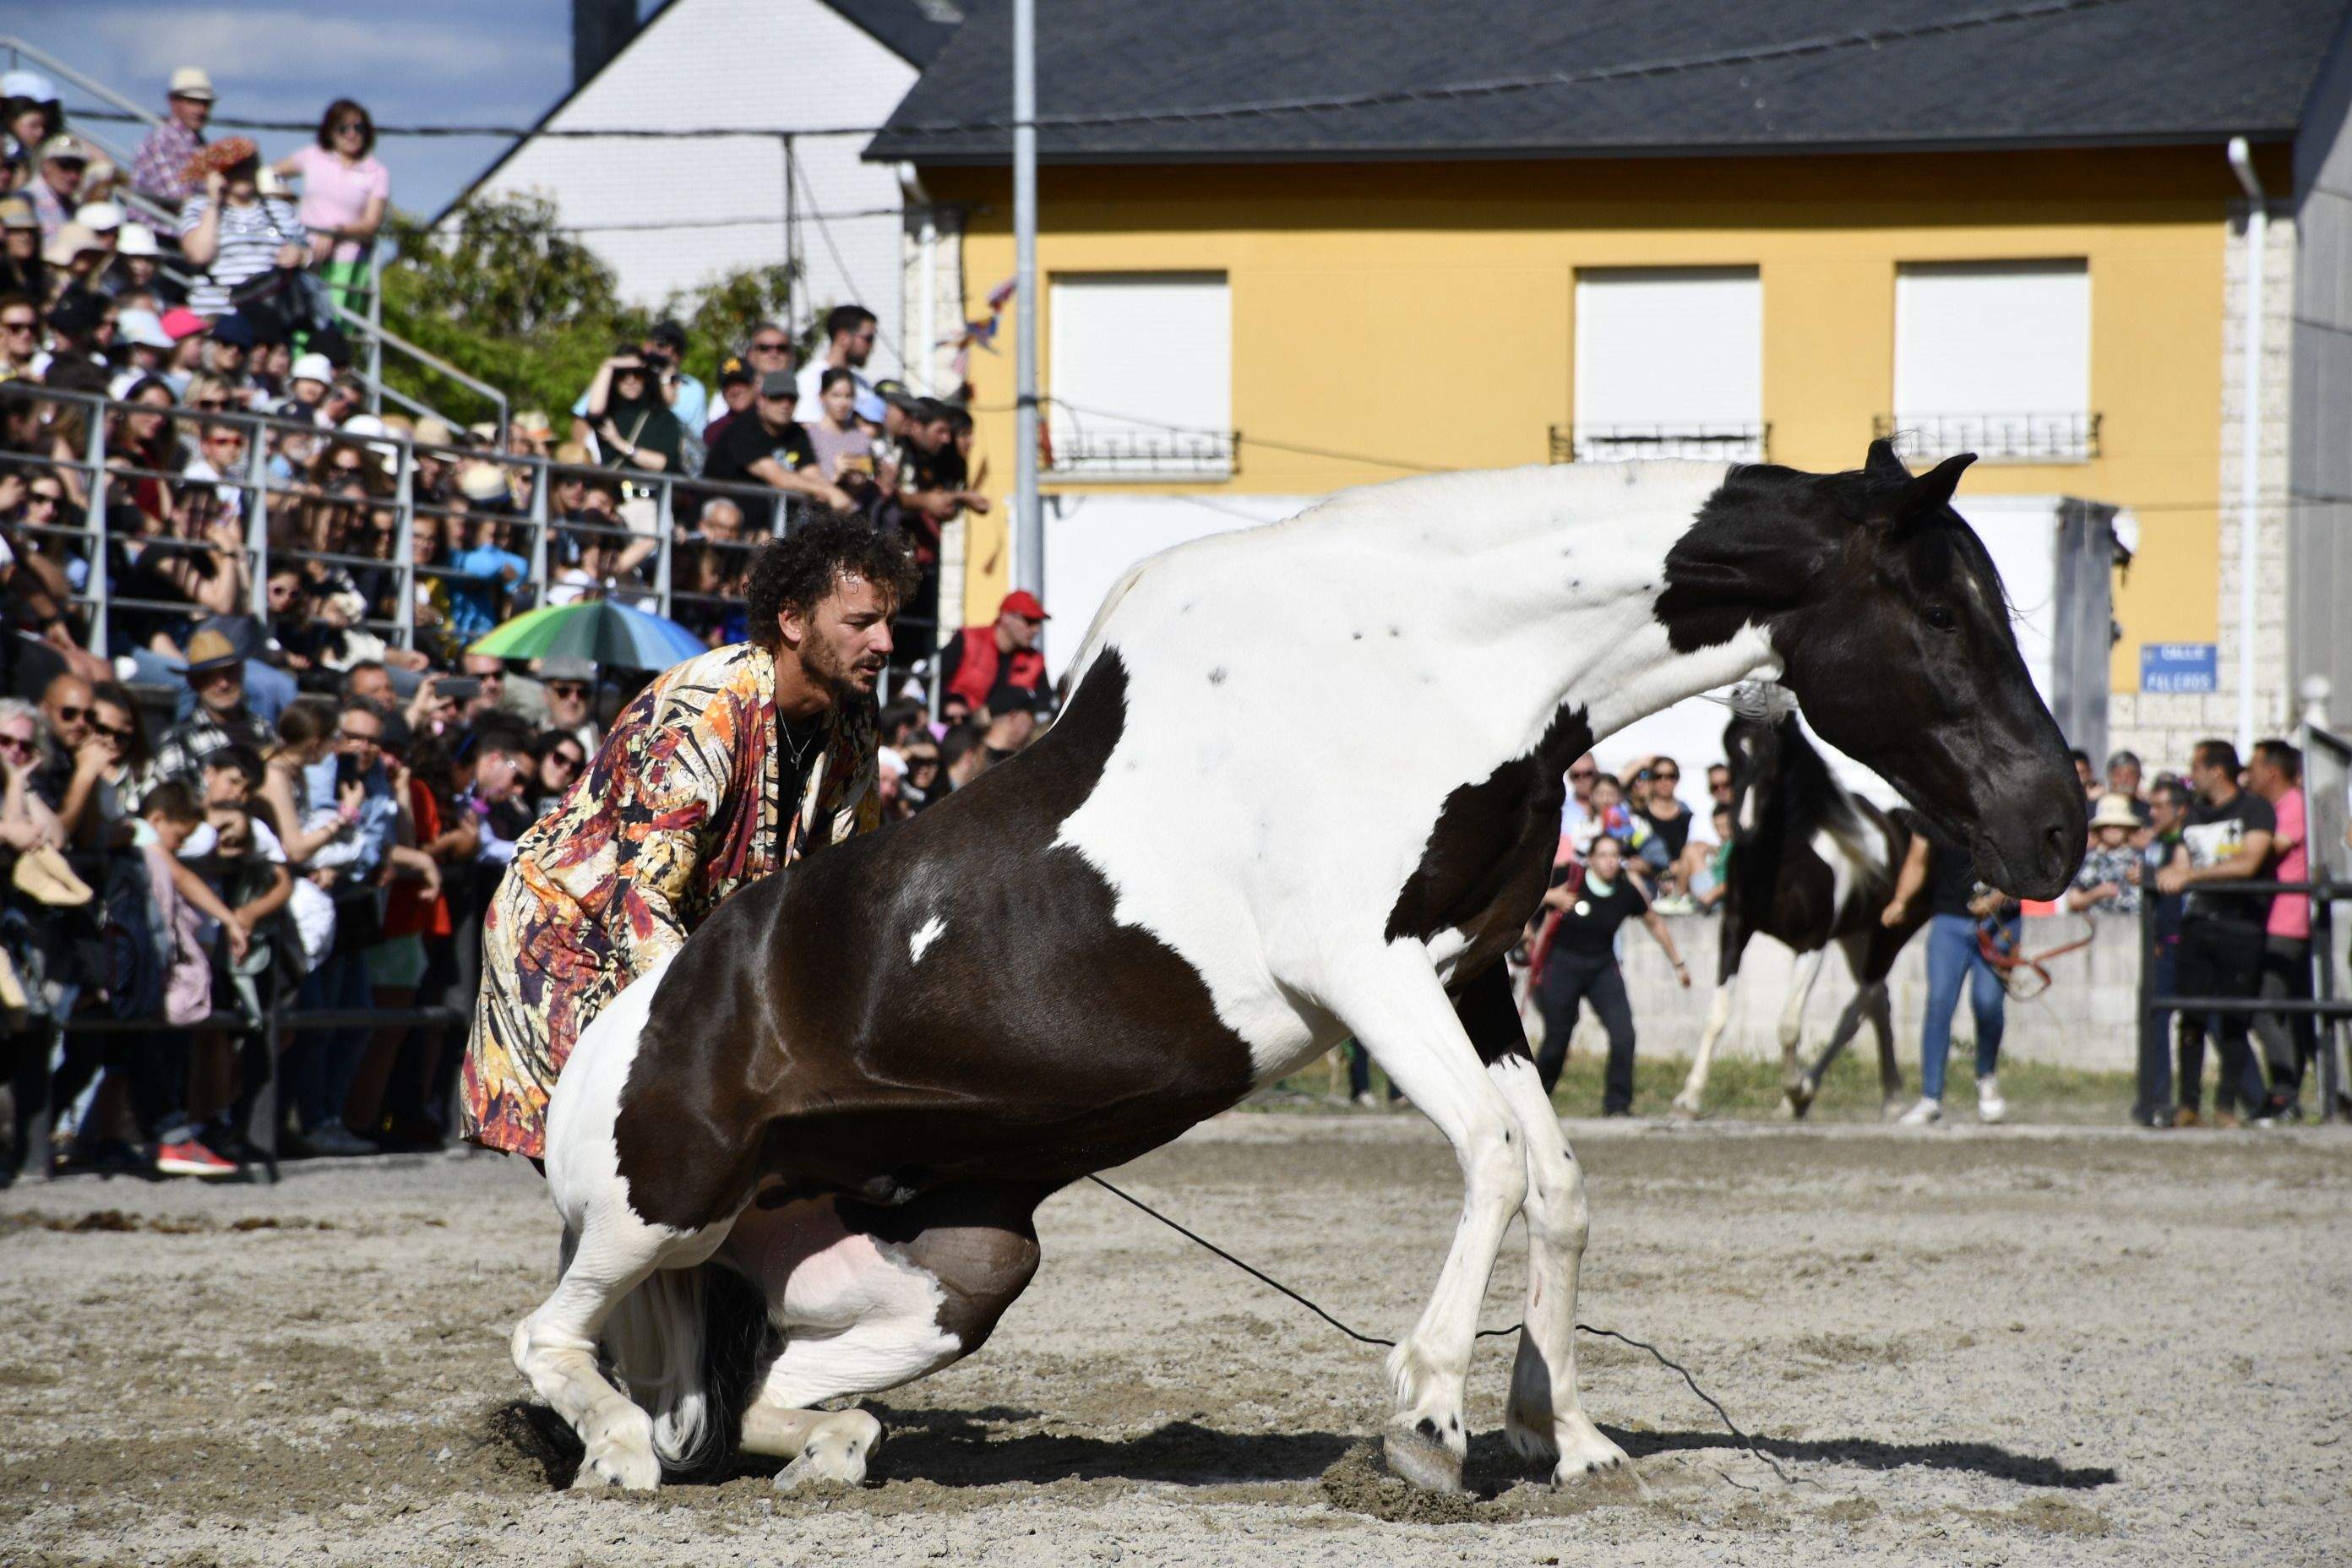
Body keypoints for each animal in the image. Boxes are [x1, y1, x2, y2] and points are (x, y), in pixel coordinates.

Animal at [1665, 705, 1919, 1124]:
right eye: (1732, 752)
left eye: (1773, 757)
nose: (1743, 827)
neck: (1784, 861)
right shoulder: (1735, 928)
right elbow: (1717, 1014)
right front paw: (1689, 1098)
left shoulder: (1812, 945)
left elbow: (1788, 1025)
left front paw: (1796, 1091)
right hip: (1855, 939)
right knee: (1877, 1002)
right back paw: (1890, 1097)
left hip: (1887, 939)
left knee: (1864, 1004)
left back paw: (1855, 1095)